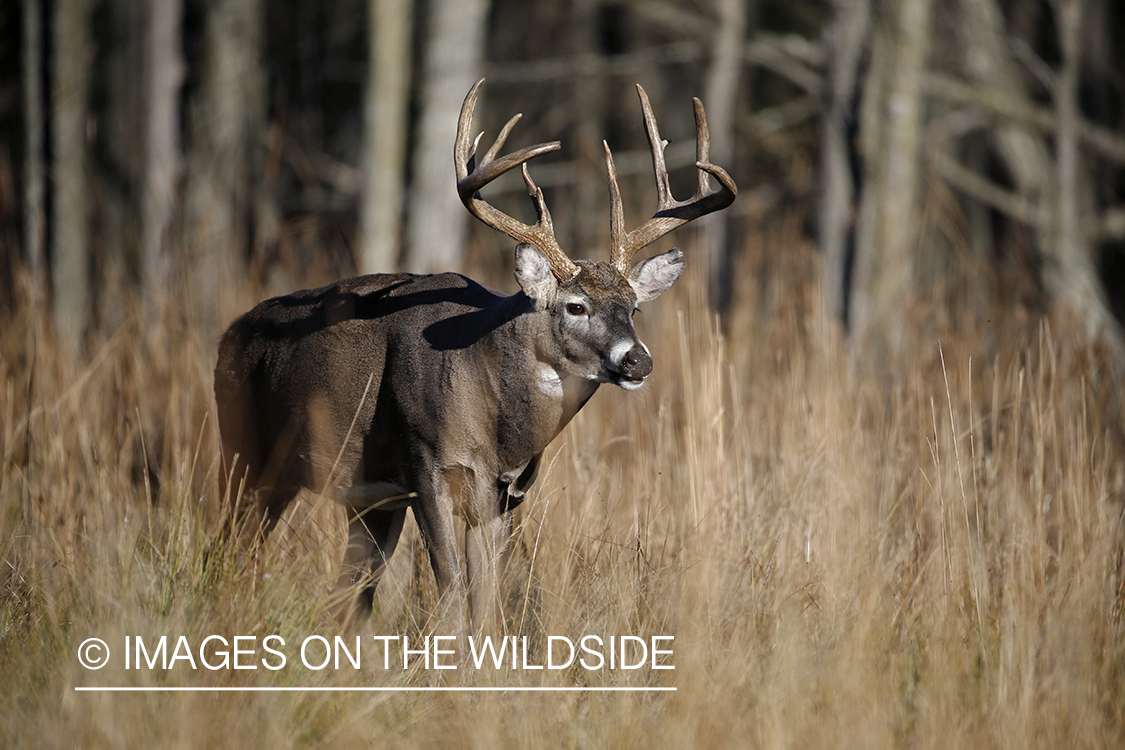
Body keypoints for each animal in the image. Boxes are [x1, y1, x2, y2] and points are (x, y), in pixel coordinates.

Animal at [212, 79, 738, 629]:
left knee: (348, 595)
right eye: (576, 305)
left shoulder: (505, 494)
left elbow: (486, 602)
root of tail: (229, 335)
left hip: (366, 500)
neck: (496, 426)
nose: (638, 360)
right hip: (245, 452)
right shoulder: (427, 468)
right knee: (230, 552)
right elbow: (451, 599)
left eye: (634, 307)